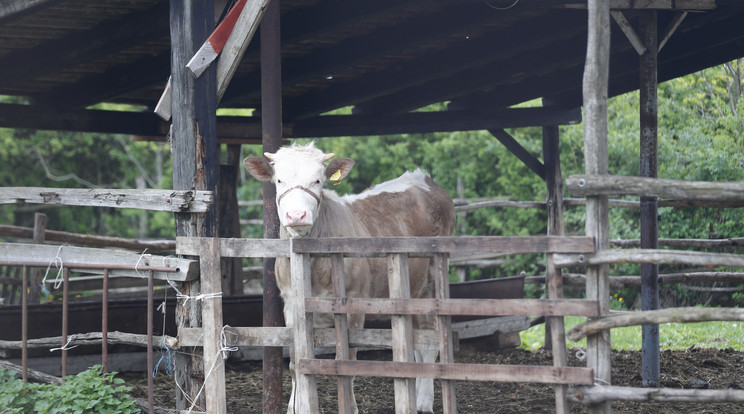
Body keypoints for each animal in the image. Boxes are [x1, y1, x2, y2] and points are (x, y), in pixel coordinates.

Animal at [246, 141, 454, 412]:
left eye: (318, 180)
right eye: (279, 180)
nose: (296, 215)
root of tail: (423, 178)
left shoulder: (353, 306)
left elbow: (347, 363)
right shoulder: (290, 305)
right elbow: (295, 363)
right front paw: (296, 406)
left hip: (432, 283)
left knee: (429, 343)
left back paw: (423, 403)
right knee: (419, 342)